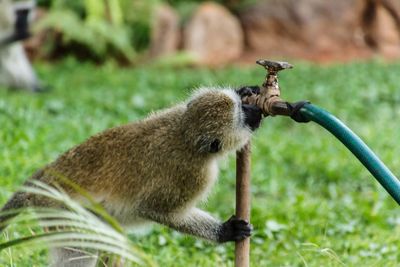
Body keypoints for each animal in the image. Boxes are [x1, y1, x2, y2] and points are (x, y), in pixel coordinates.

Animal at [0, 87, 262, 266]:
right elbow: (156, 209)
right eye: (242, 115)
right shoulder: (194, 175)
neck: (186, 138)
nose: (254, 111)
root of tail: (43, 180)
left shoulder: (174, 116)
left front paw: (245, 89)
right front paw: (225, 231)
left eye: (241, 106)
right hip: (62, 213)